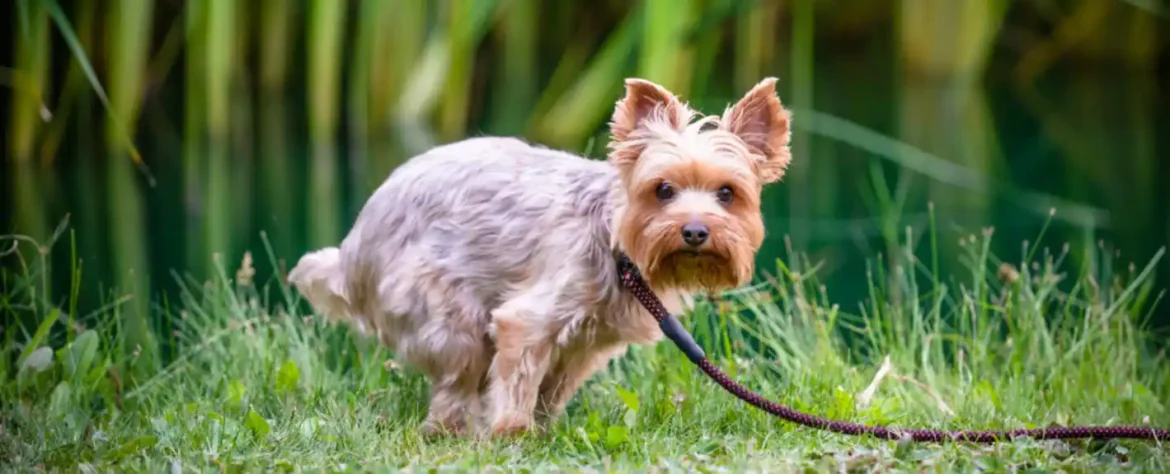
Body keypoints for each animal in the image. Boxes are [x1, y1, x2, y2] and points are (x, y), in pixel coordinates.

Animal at [285, 76, 795, 435]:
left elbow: (552, 390)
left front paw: (544, 431)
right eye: (663, 190)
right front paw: (512, 434)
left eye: (727, 194)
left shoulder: (583, 346)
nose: (693, 231)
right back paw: (452, 430)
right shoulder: (529, 320)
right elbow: (517, 382)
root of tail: (353, 251)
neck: (615, 243)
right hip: (443, 310)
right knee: (456, 382)